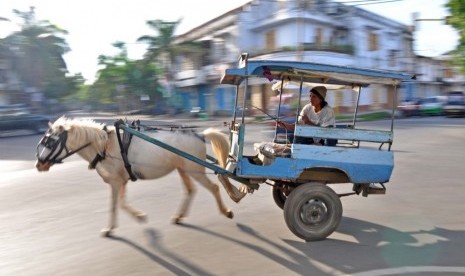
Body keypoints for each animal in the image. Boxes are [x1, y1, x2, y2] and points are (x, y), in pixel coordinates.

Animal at [35, 117, 245, 236]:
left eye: (50, 142)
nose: (38, 164)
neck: (104, 146)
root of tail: (199, 135)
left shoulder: (116, 182)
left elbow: (115, 205)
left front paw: (112, 228)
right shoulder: (122, 181)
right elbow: (120, 203)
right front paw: (137, 217)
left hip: (194, 169)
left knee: (214, 187)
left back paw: (226, 211)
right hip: (183, 169)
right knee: (190, 190)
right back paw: (179, 216)